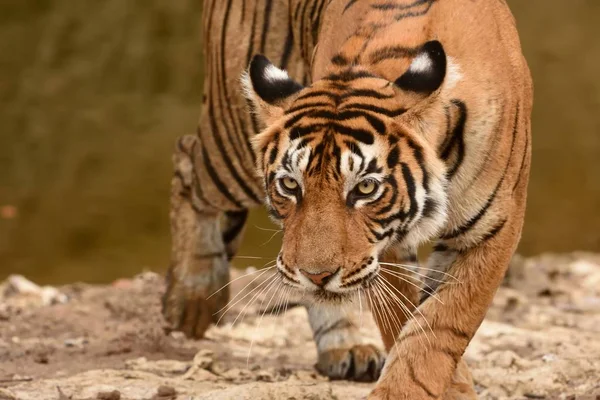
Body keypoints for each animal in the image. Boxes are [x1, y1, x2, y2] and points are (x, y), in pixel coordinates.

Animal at [162, 0, 532, 396]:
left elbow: (441, 325)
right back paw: (192, 298)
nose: (317, 276)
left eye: (365, 188)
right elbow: (404, 319)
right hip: (233, 139)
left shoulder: (491, 232)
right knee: (186, 157)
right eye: (290, 185)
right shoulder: (386, 247)